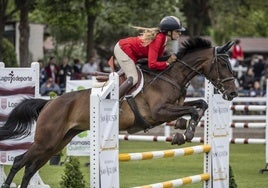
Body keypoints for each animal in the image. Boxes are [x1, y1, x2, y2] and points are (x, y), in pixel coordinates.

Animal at [0, 37, 237, 188]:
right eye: (224, 64)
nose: (233, 92)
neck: (171, 78)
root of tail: (48, 103)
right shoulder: (159, 112)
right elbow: (192, 110)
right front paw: (184, 134)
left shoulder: (173, 107)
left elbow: (201, 104)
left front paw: (181, 130)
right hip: (47, 141)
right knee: (19, 161)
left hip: (57, 143)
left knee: (30, 168)